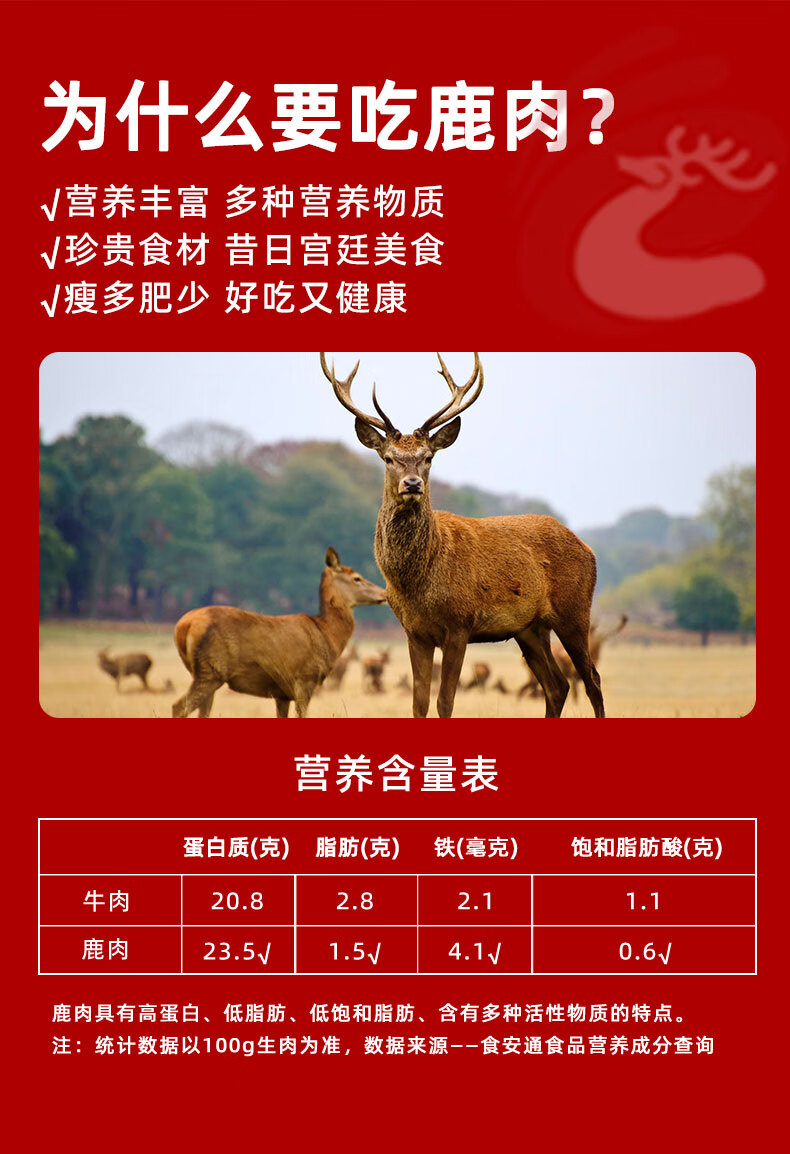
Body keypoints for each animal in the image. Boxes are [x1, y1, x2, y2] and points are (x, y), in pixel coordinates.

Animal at [171, 548, 387, 717]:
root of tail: (183, 626)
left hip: (203, 671)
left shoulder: (281, 693)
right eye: (357, 578)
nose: (384, 593)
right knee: (178, 707)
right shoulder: (305, 679)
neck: (328, 634)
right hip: (212, 669)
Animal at [322, 352, 605, 718]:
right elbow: (419, 702)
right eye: (388, 458)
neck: (417, 581)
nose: (412, 484)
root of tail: (588, 549)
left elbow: (445, 701)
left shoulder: (460, 624)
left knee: (592, 679)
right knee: (557, 685)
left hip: (574, 609)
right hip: (530, 628)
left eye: (428, 457)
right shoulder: (414, 632)